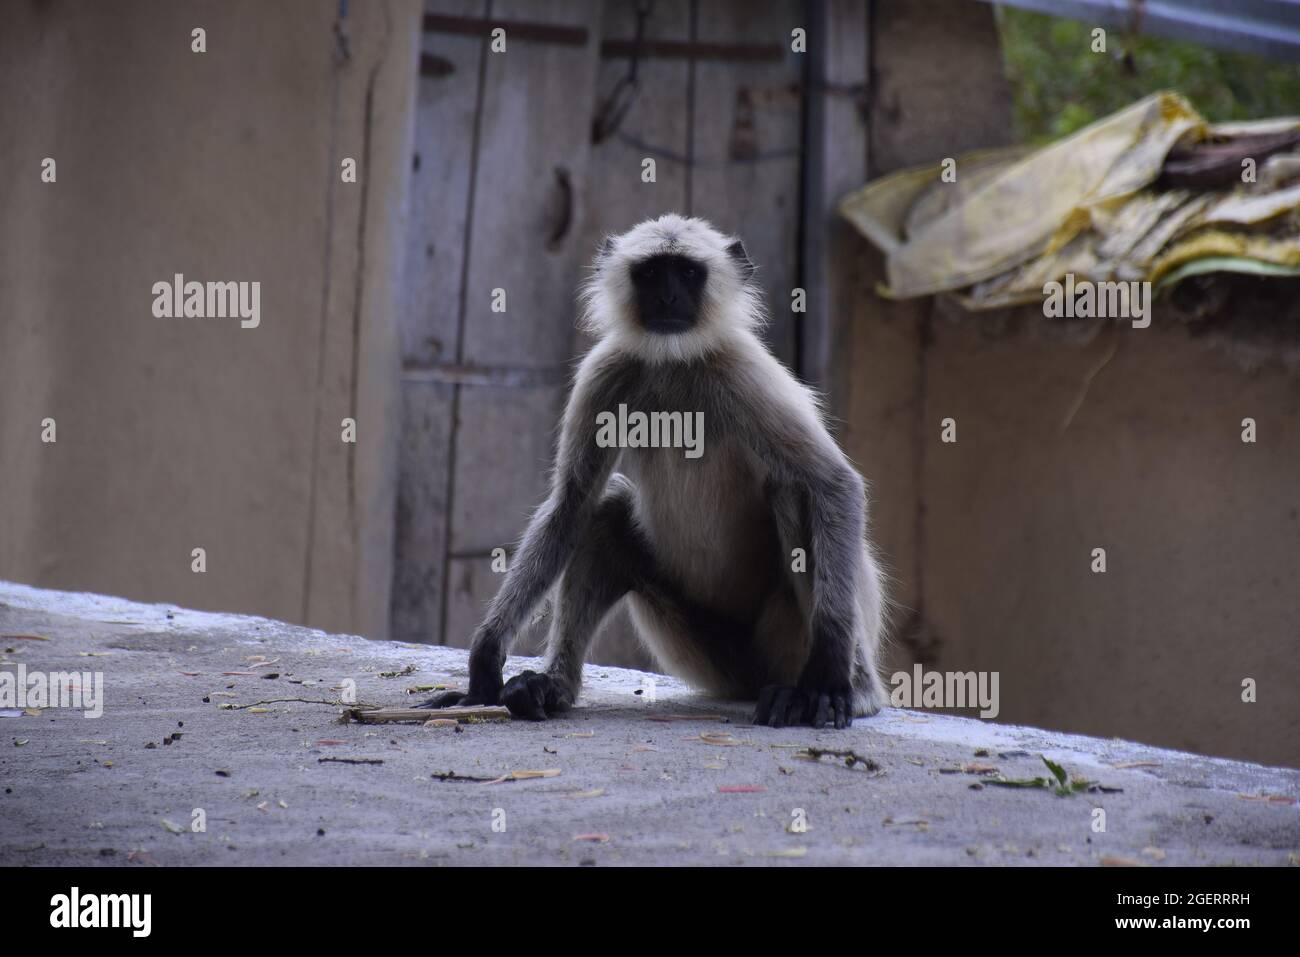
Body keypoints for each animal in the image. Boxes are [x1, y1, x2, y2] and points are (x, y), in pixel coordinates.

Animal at [421, 213, 889, 728]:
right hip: (706, 651)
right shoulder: (606, 370)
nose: (667, 299)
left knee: (791, 488)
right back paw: (553, 688)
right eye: (649, 274)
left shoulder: (742, 366)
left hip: (784, 639)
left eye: (686, 273)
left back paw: (853, 689)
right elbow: (571, 503)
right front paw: (485, 664)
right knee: (604, 511)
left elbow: (833, 484)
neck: (674, 362)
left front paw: (829, 677)